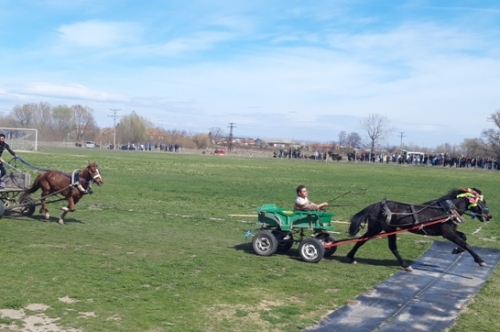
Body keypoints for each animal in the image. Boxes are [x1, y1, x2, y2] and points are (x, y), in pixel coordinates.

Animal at [348, 188, 492, 272]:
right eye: (482, 202)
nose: (489, 216)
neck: (447, 210)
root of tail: (375, 205)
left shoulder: (450, 231)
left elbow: (463, 239)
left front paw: (456, 250)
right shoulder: (447, 233)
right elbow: (465, 243)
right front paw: (480, 260)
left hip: (378, 228)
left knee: (362, 240)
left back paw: (351, 257)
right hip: (385, 228)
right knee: (390, 246)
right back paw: (405, 265)